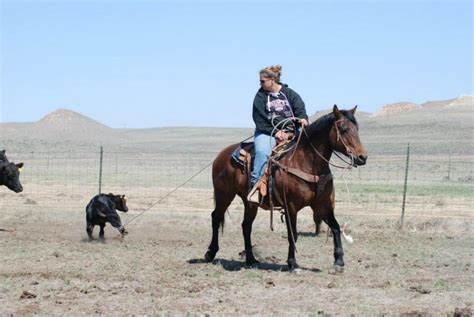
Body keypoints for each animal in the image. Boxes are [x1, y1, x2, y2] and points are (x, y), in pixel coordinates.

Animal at [204, 104, 366, 272]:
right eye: (344, 129)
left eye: (356, 128)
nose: (362, 157)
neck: (307, 163)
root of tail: (221, 155)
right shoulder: (291, 206)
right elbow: (292, 234)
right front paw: (292, 263)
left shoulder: (322, 204)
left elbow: (335, 227)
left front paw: (339, 261)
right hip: (224, 194)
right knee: (216, 217)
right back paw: (210, 253)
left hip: (249, 202)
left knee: (246, 226)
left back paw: (251, 259)